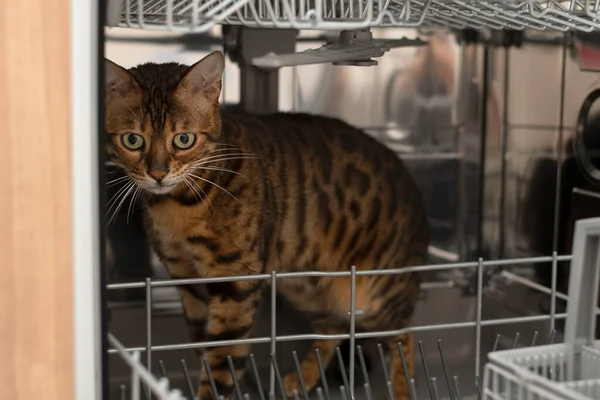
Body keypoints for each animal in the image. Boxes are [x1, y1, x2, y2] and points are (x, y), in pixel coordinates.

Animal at [105, 50, 428, 400]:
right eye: (132, 140)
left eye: (183, 139)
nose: (157, 174)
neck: (178, 206)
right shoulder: (188, 282)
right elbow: (203, 348)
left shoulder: (234, 282)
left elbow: (222, 361)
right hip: (308, 287)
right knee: (334, 329)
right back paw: (299, 380)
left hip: (376, 294)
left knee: (405, 336)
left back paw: (402, 390)